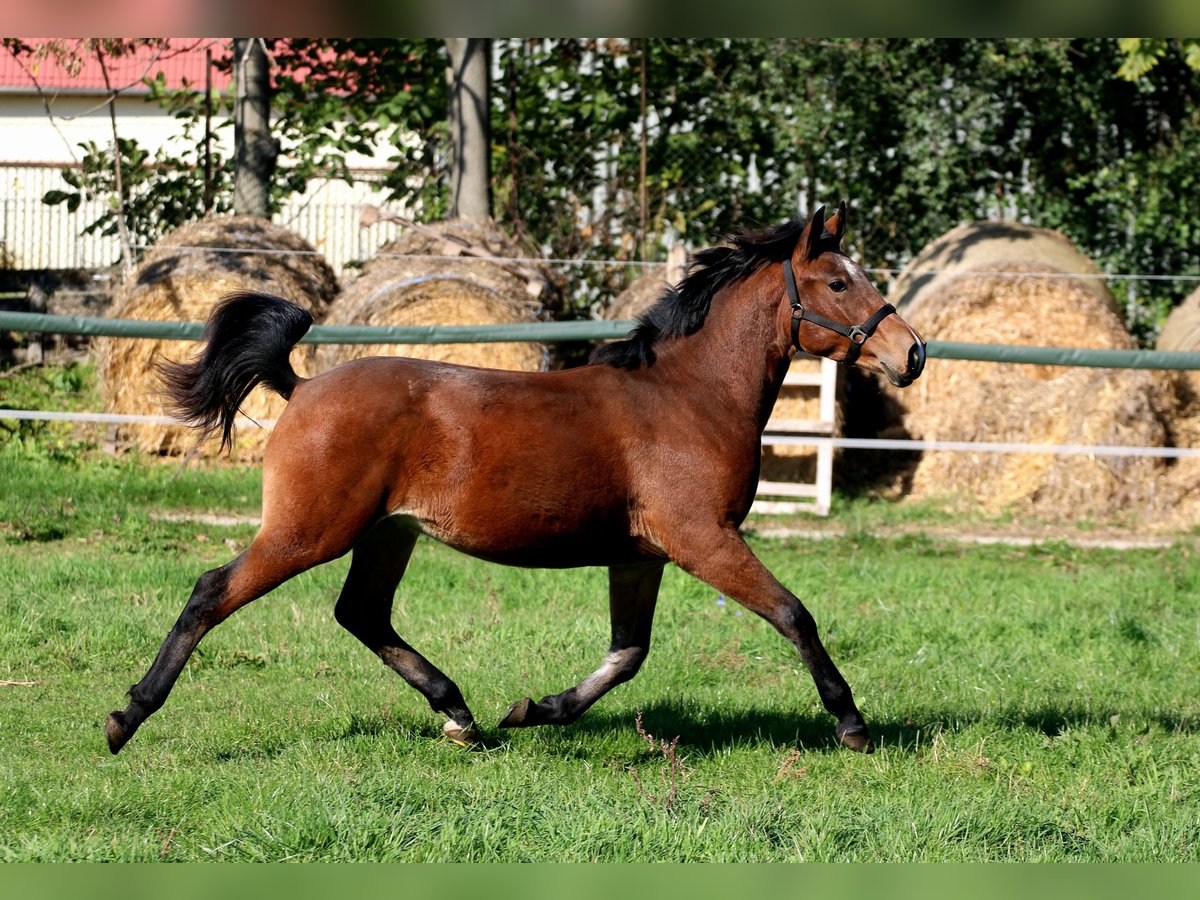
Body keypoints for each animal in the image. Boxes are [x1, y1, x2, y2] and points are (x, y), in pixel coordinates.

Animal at [105, 202, 926, 753]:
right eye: (837, 282)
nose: (911, 353)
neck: (687, 396)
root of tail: (300, 386)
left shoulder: (642, 554)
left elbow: (626, 654)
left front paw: (537, 710)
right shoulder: (703, 538)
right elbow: (794, 614)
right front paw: (852, 722)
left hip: (387, 534)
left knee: (362, 614)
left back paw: (462, 715)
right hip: (310, 529)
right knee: (214, 591)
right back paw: (126, 716)